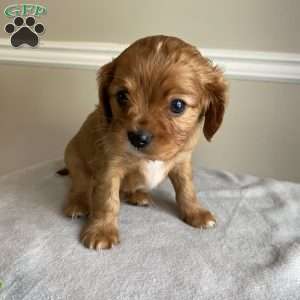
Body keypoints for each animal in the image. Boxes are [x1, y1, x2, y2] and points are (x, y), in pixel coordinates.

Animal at [62, 35, 229, 250]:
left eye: (177, 105)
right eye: (122, 96)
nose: (137, 138)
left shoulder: (182, 162)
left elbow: (187, 189)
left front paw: (195, 212)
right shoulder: (109, 167)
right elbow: (107, 200)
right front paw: (102, 230)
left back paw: (137, 195)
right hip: (74, 159)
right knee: (80, 185)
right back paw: (78, 204)